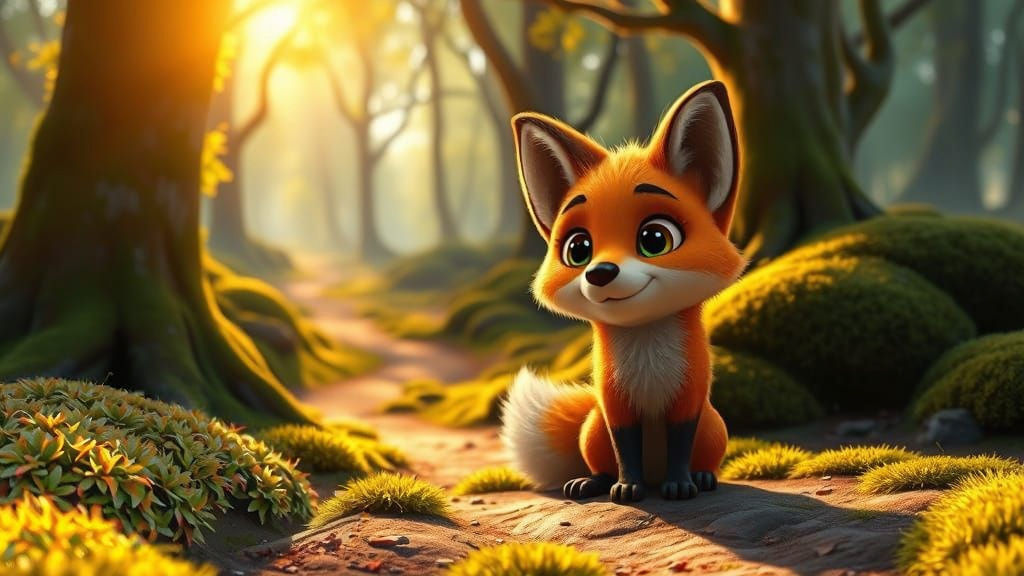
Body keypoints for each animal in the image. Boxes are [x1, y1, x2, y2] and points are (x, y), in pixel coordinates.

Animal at [500, 81, 745, 503]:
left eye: (655, 239)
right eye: (578, 249)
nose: (600, 273)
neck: (647, 359)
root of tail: (654, 472)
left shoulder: (688, 401)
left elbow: (680, 446)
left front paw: (681, 485)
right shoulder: (615, 407)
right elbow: (625, 450)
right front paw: (627, 487)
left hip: (714, 427)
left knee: (703, 458)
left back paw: (702, 477)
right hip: (593, 427)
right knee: (602, 462)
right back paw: (592, 482)